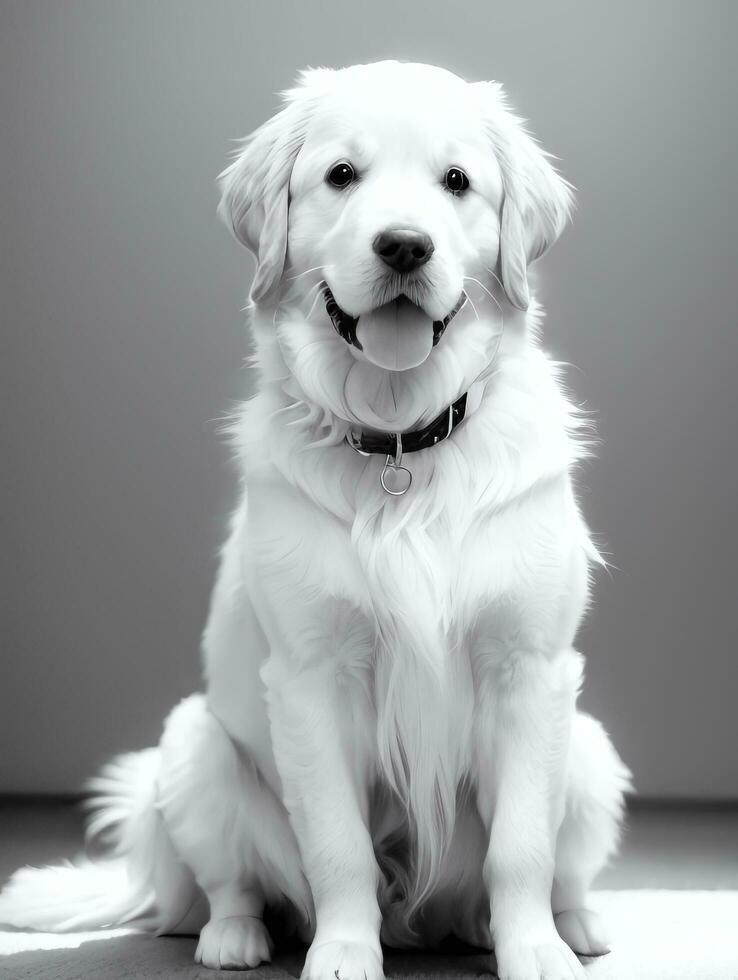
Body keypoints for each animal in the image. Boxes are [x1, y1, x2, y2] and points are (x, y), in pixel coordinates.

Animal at [2, 61, 628, 980]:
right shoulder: (310, 678)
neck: (401, 439)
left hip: (587, 745)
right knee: (227, 887)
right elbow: (337, 846)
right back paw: (234, 937)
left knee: (559, 865)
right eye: (341, 175)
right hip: (189, 748)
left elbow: (522, 847)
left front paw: (534, 950)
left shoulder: (530, 668)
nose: (404, 245)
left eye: (457, 181)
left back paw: (572, 925)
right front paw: (341, 952)